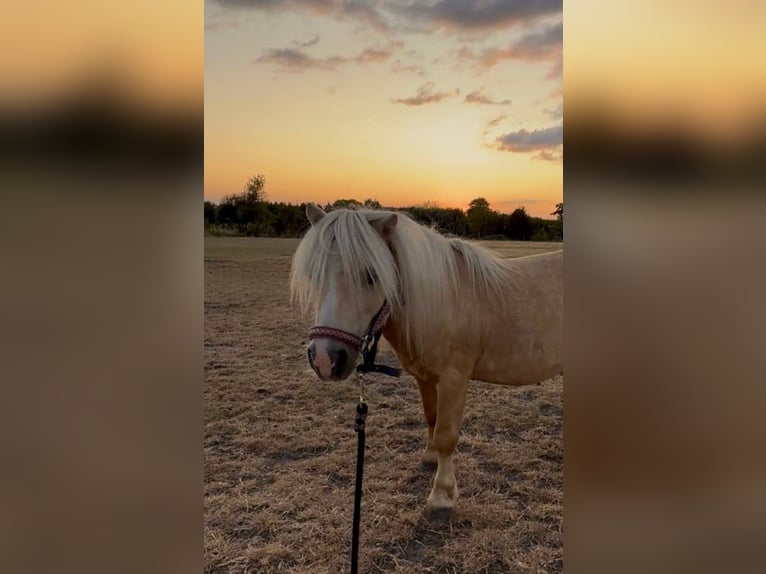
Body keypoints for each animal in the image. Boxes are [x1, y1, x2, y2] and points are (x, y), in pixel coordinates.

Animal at [290, 203, 563, 519]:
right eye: (314, 275)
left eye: (371, 274)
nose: (325, 358)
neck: (443, 301)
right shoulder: (425, 378)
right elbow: (432, 419)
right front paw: (430, 459)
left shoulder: (453, 380)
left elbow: (446, 434)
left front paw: (441, 497)